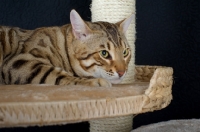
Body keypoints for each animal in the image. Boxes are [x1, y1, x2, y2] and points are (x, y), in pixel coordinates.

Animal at [0, 9, 134, 87]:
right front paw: (93, 81)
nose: (122, 72)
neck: (59, 46)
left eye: (125, 52)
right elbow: (56, 75)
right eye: (104, 53)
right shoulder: (18, 61)